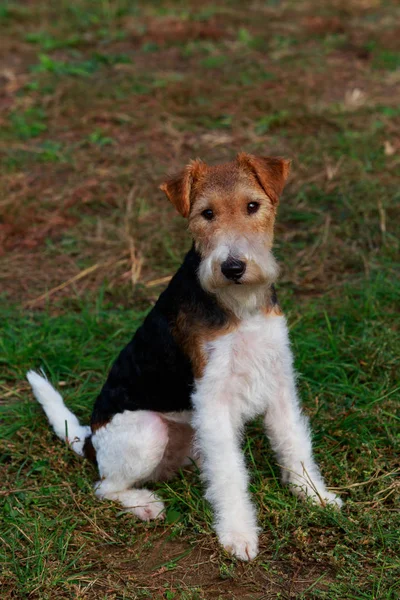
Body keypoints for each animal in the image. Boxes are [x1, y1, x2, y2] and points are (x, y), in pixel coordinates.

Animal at [26, 152, 342, 560]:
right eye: (206, 213)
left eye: (252, 206)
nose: (233, 267)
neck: (240, 305)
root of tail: (91, 440)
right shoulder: (214, 400)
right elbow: (230, 473)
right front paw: (238, 536)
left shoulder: (278, 380)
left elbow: (294, 444)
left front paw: (316, 496)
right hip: (148, 432)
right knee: (104, 487)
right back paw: (146, 505)